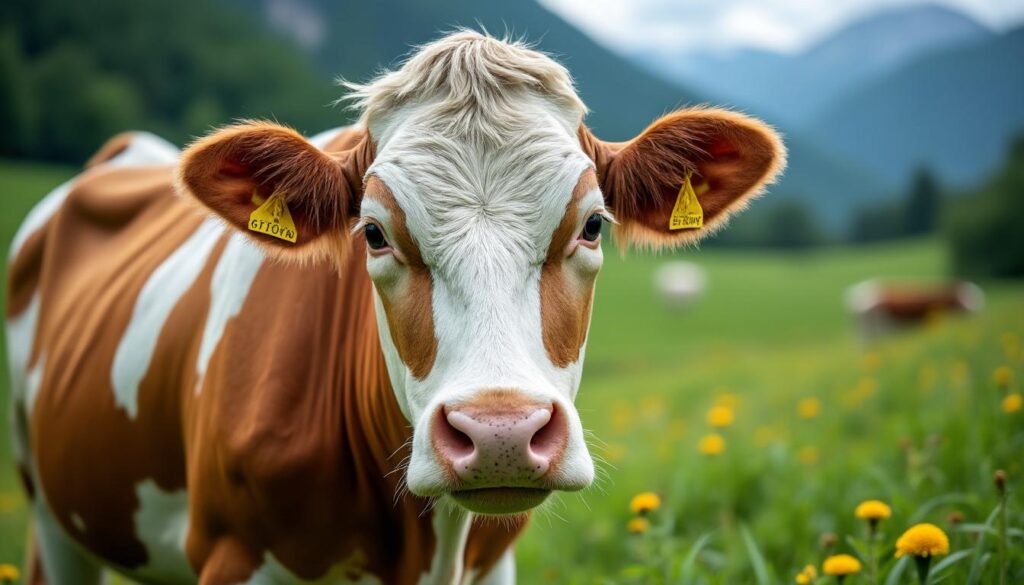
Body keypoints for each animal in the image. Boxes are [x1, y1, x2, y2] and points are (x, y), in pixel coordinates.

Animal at [6, 31, 785, 584]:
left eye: (593, 224)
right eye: (374, 233)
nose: (500, 433)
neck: (419, 546)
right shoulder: (232, 551)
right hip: (50, 512)